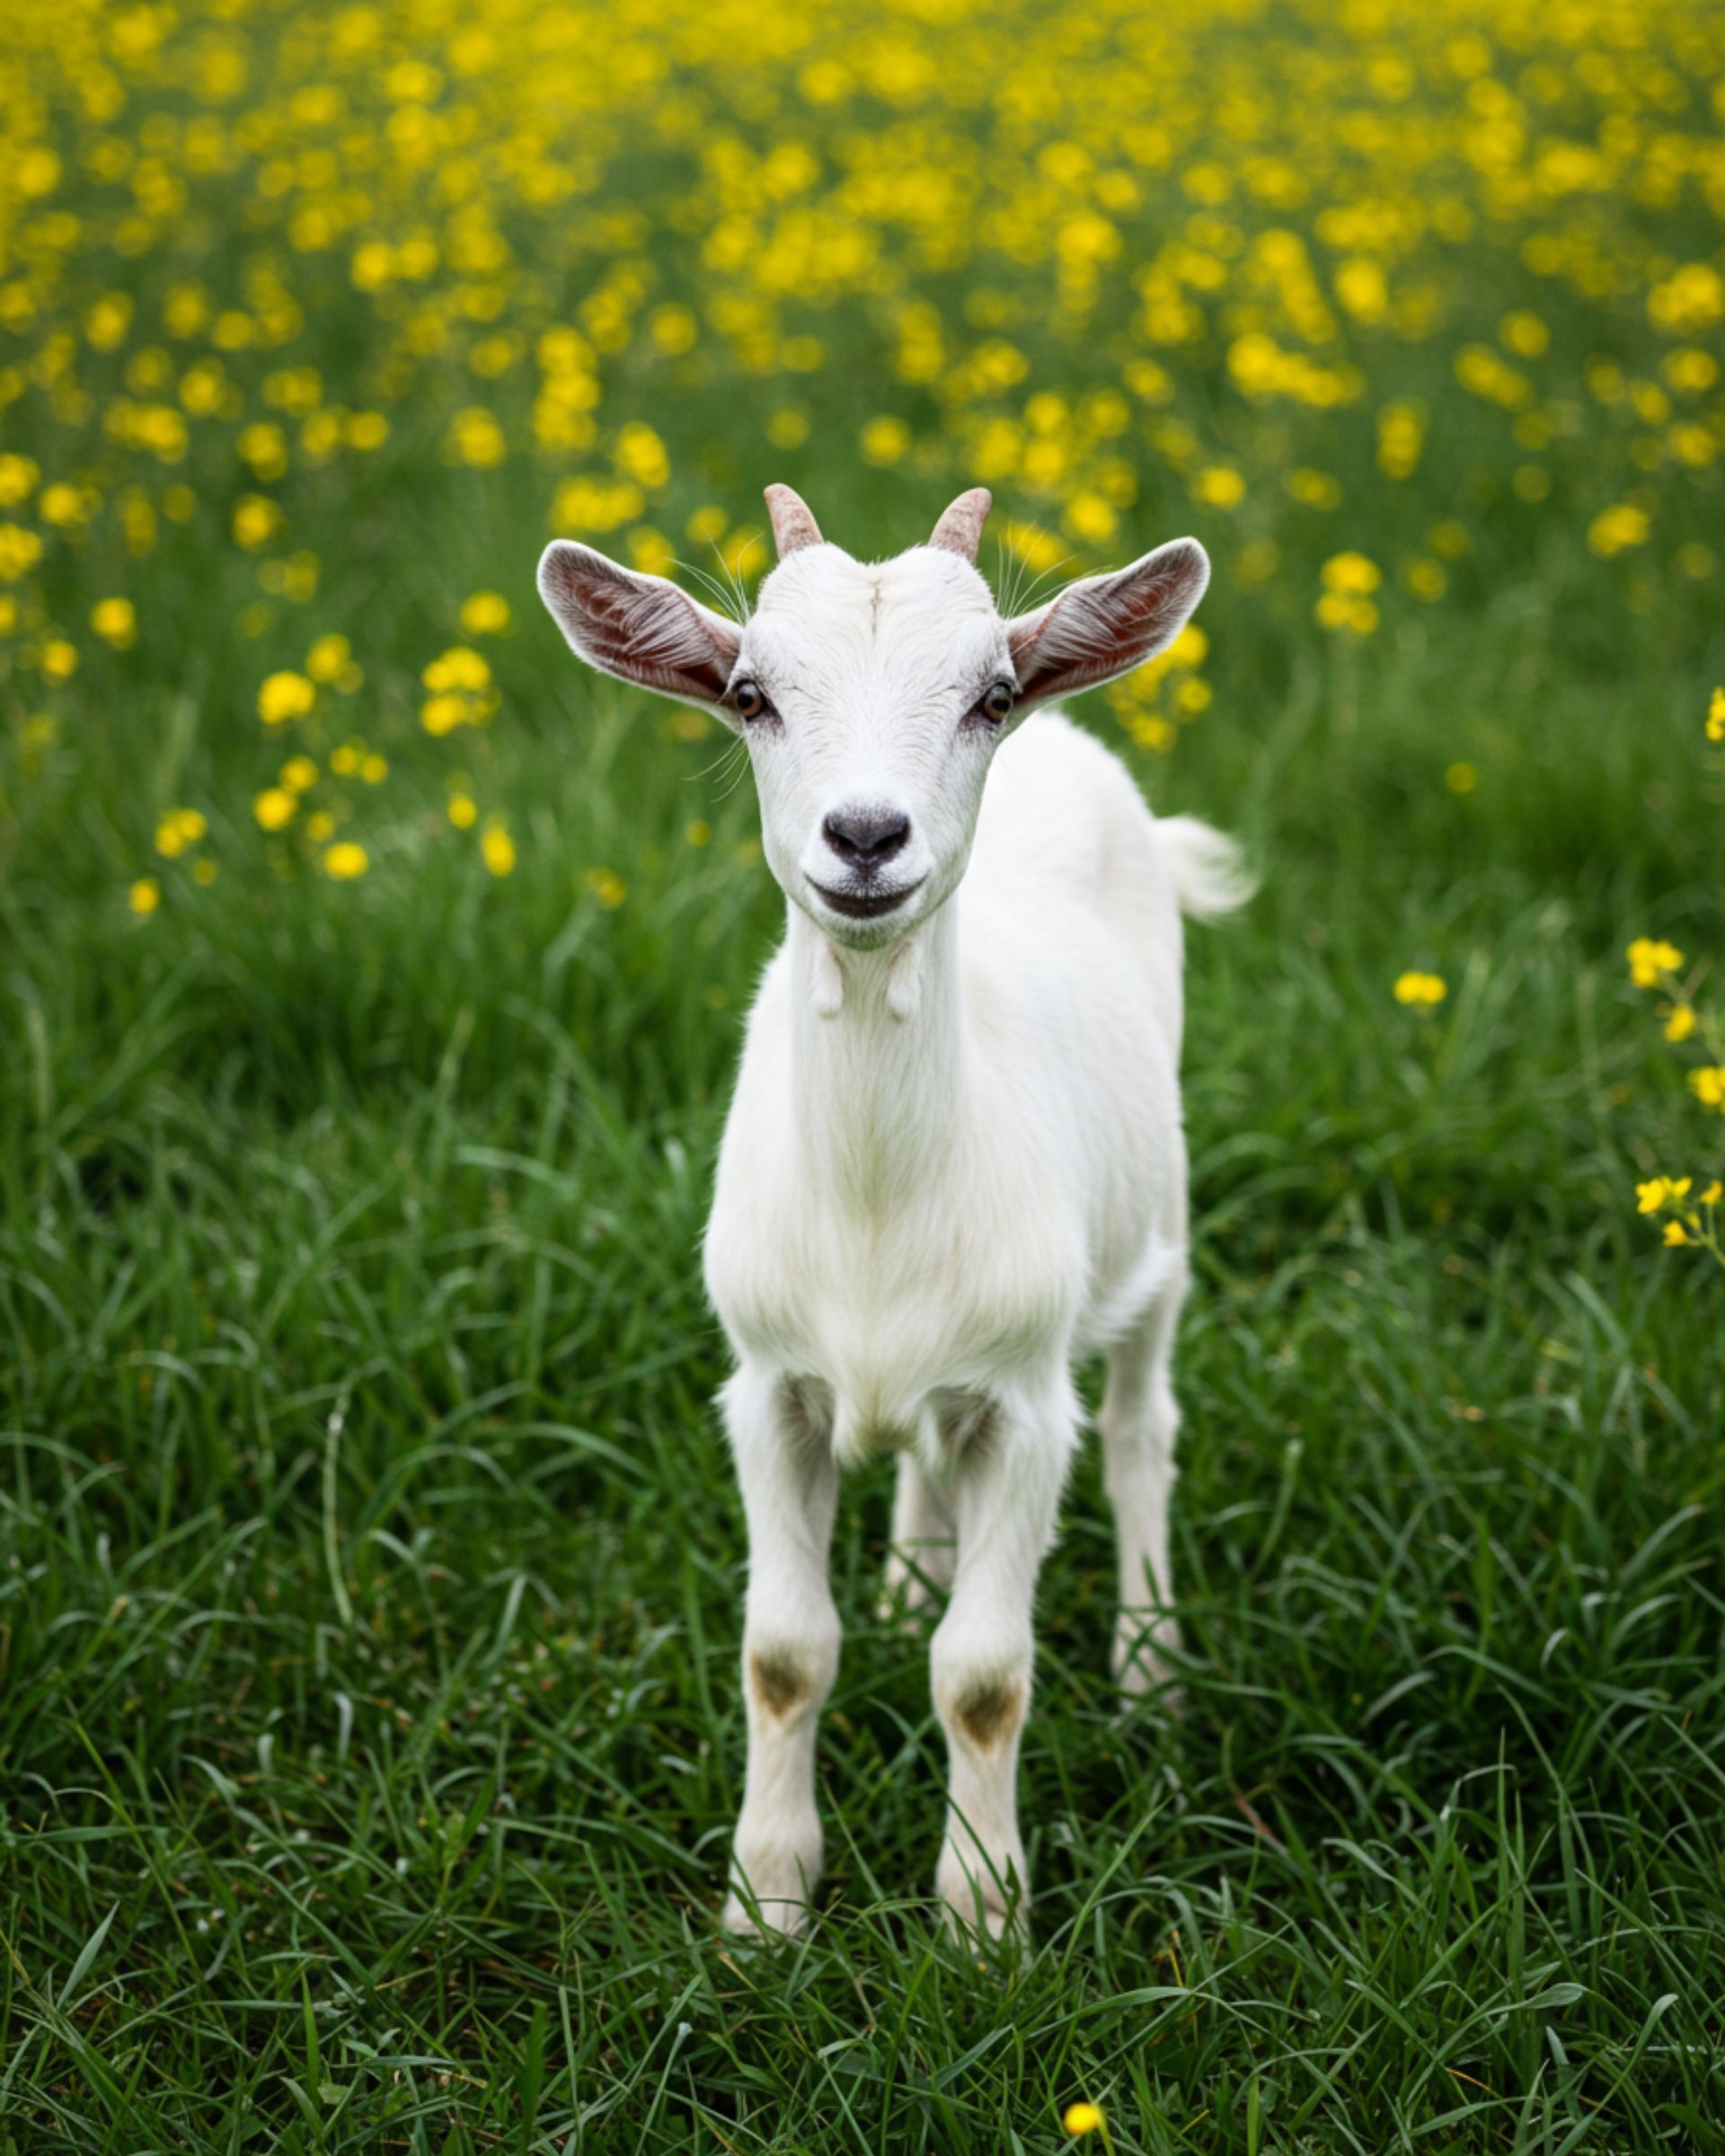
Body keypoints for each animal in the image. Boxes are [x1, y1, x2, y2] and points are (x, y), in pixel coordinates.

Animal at [538, 485, 1250, 1942]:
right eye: (749, 693)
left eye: (990, 693)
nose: (867, 839)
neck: (876, 1208)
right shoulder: (767, 1386)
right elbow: (782, 1653)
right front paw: (765, 1910)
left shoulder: (1028, 1404)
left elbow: (981, 1673)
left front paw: (981, 1921)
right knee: (924, 1451)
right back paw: (910, 1572)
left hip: (1158, 1241)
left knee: (1143, 1432)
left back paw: (1151, 1672)